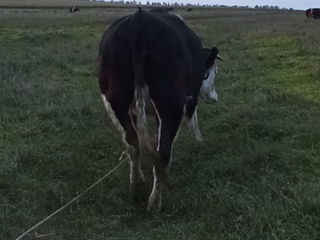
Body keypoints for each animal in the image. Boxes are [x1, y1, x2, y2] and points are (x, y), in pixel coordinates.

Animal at [99, 7, 221, 210]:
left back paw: (138, 187)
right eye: (214, 71)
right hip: (170, 103)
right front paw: (199, 142)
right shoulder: (190, 98)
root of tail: (139, 20)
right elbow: (192, 121)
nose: (215, 96)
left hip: (116, 99)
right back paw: (154, 202)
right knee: (162, 152)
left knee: (133, 142)